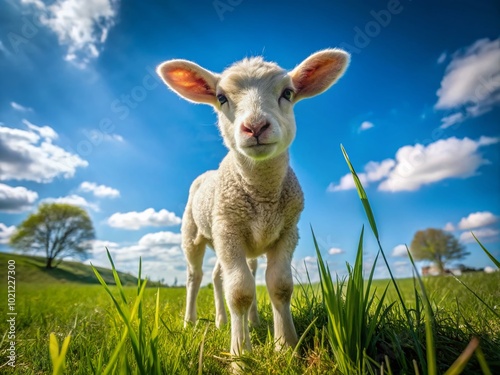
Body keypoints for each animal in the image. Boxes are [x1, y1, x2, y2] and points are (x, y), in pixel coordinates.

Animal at [156, 47, 348, 364]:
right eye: (221, 98)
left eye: (287, 93)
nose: (255, 126)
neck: (262, 193)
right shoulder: (228, 230)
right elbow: (240, 292)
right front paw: (239, 356)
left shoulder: (287, 231)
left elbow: (279, 286)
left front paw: (286, 347)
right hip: (194, 234)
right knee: (196, 277)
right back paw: (191, 322)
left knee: (221, 276)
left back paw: (234, 321)